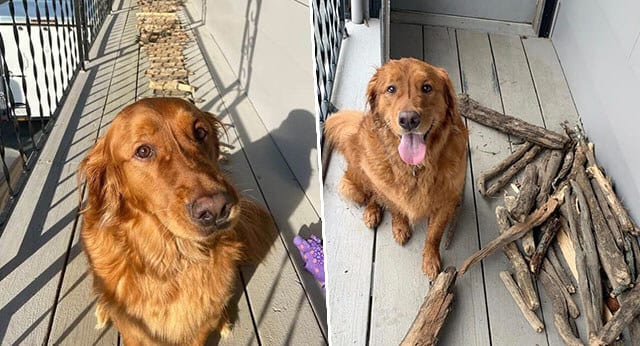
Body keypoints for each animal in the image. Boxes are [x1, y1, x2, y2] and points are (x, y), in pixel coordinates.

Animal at [79, 96, 274, 344]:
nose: (217, 208)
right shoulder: (133, 330)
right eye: (143, 151)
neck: (172, 259)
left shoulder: (200, 328)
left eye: (200, 132)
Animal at [324, 56, 470, 278]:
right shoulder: (388, 190)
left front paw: (430, 260)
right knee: (371, 195)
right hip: (358, 180)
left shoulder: (447, 201)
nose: (409, 120)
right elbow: (395, 208)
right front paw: (400, 227)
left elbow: (434, 234)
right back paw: (372, 212)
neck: (415, 168)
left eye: (427, 87)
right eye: (391, 89)